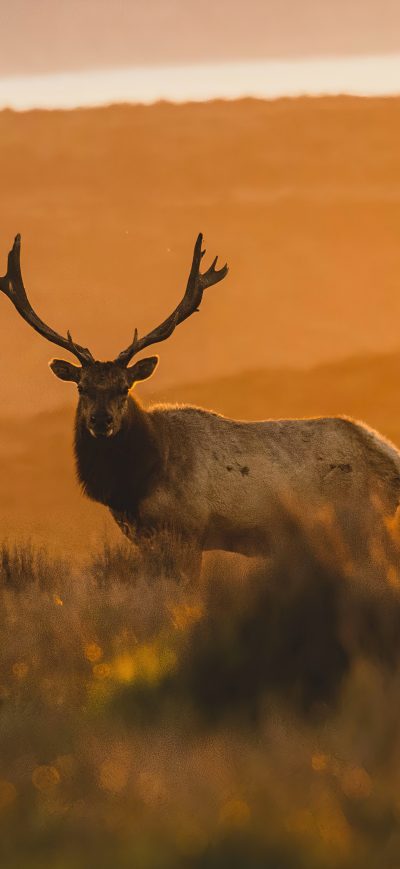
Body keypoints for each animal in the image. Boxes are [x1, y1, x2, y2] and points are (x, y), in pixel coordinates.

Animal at [1, 232, 400, 580]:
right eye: (82, 387)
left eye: (124, 387)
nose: (101, 421)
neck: (137, 481)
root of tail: (390, 455)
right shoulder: (147, 539)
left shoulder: (186, 531)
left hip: (362, 520)